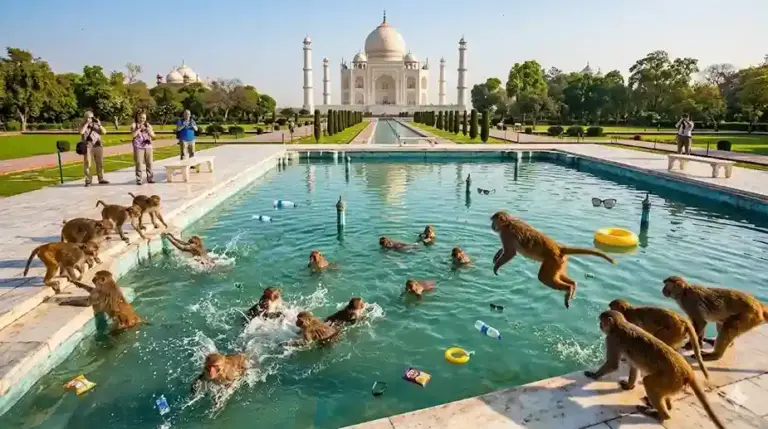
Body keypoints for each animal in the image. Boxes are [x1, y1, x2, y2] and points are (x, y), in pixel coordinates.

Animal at [584, 311, 724, 429]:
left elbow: (613, 364)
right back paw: (667, 406)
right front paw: (629, 386)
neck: (620, 325)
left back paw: (661, 415)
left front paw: (593, 375)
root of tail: (688, 372)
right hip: (674, 383)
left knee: (648, 382)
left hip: (670, 379)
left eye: (602, 322)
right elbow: (634, 365)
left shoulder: (611, 339)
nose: (600, 325)